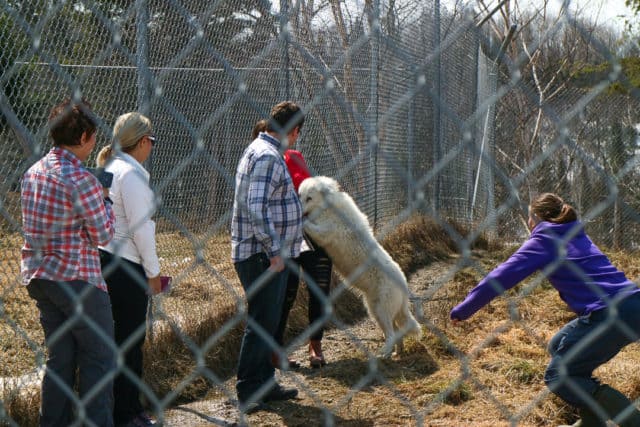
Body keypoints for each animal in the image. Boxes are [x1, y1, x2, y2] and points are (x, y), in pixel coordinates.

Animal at [298, 176, 422, 356]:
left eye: (309, 198)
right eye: (300, 195)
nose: (297, 210)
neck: (329, 208)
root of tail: (405, 287)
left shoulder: (324, 232)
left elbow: (308, 224)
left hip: (380, 311)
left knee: (392, 334)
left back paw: (385, 354)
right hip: (375, 311)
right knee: (396, 333)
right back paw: (396, 353)